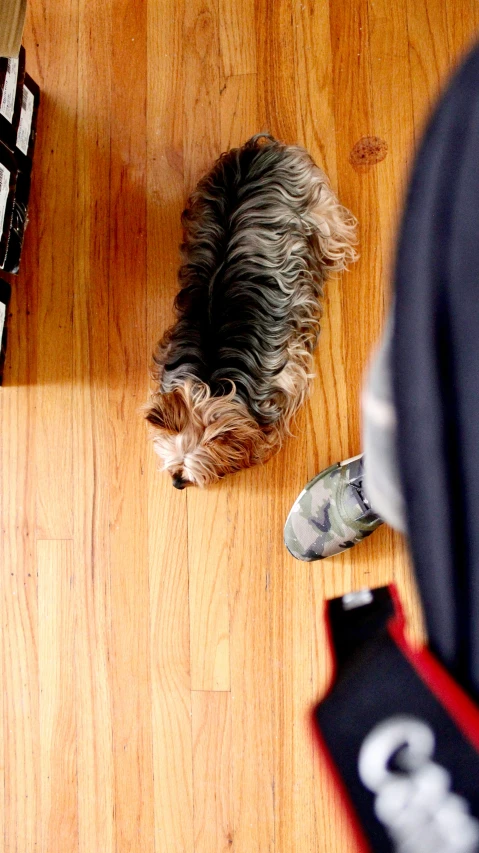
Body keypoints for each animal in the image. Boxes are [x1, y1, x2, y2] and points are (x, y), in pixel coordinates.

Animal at [145, 136, 356, 490]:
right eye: (176, 464)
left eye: (190, 469)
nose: (177, 482)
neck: (211, 385)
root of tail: (258, 149)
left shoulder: (286, 374)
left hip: (316, 207)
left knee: (333, 229)